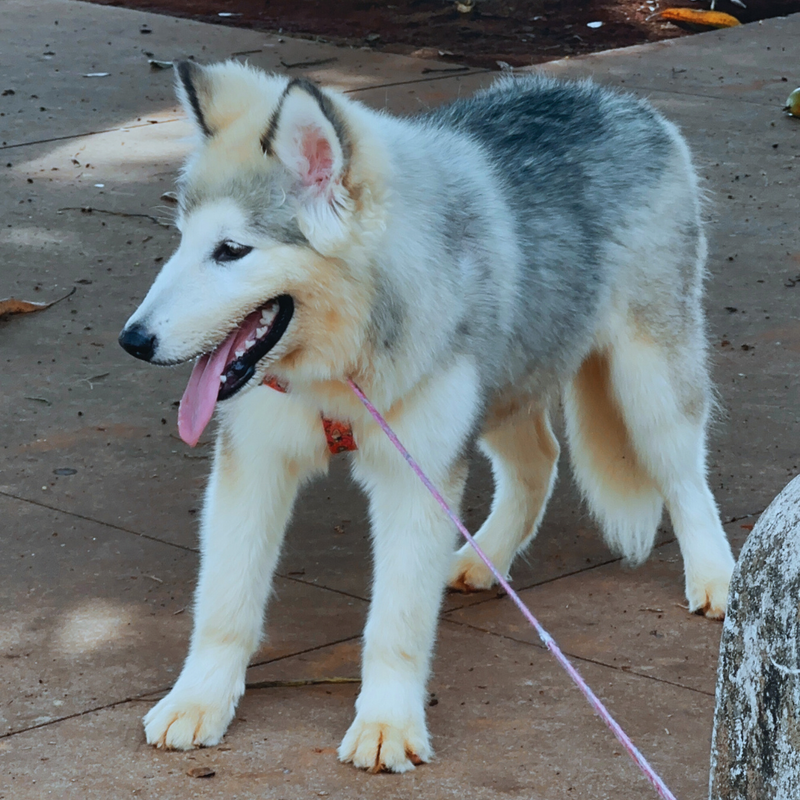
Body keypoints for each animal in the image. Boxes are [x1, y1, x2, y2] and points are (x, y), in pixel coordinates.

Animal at [115, 62, 736, 776]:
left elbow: (397, 624)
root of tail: (611, 98)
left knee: (683, 476)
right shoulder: (256, 463)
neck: (343, 361)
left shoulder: (416, 477)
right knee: (540, 461)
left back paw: (716, 576)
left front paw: (387, 723)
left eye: (231, 250)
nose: (133, 340)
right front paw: (199, 701)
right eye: (182, 241)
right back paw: (483, 558)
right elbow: (224, 602)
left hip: (647, 378)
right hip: (502, 386)